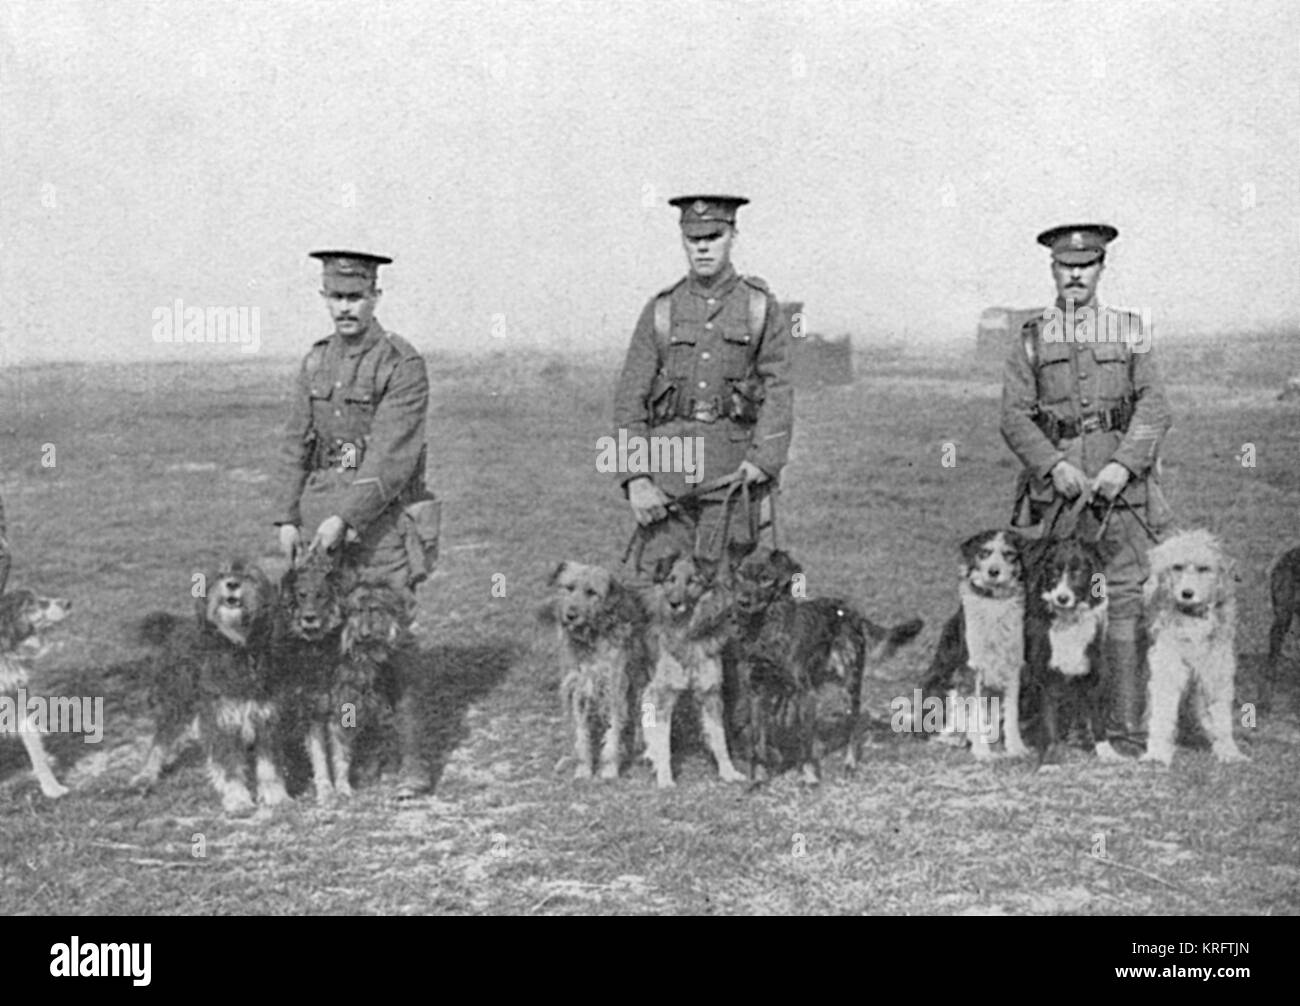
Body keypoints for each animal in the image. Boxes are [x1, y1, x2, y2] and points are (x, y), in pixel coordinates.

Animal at [1144, 532, 1242, 769]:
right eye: (1177, 567)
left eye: (1203, 568)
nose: (1187, 593)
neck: (1192, 618)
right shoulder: (1166, 670)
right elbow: (1161, 713)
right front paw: (1157, 752)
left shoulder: (1214, 673)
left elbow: (1220, 717)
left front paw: (1228, 750)